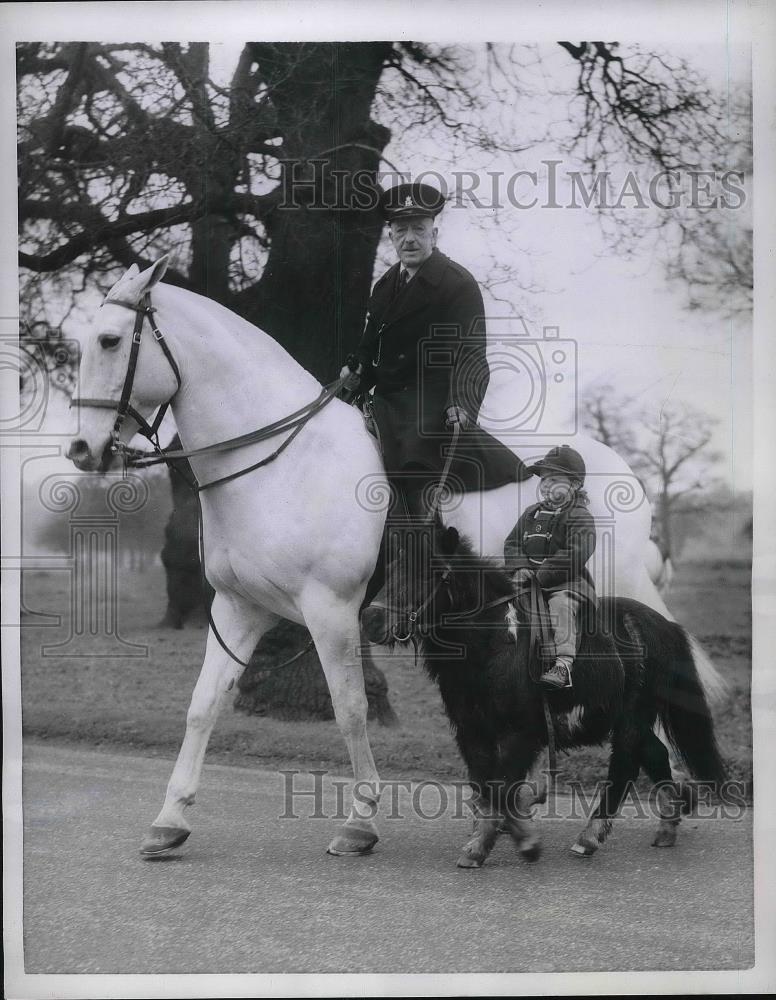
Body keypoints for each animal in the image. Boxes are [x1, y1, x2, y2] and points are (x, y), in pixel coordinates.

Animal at [364, 524, 728, 868]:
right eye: (391, 569)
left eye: (428, 573)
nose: (371, 621)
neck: (497, 643)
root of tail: (661, 624)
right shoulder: (471, 731)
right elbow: (486, 786)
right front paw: (493, 836)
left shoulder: (522, 732)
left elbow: (501, 787)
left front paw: (509, 843)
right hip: (626, 718)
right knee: (653, 753)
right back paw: (667, 825)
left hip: (632, 718)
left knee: (624, 766)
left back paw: (590, 837)